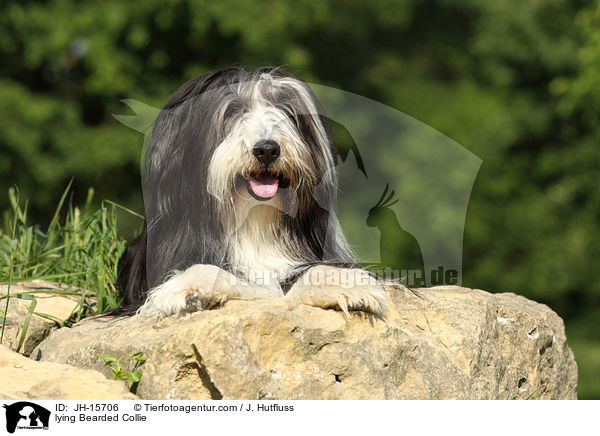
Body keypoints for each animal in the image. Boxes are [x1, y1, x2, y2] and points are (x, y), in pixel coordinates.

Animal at [116, 65, 390, 316]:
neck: (255, 218)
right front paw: (187, 285)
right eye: (233, 110)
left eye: (287, 110)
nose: (267, 150)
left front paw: (345, 281)